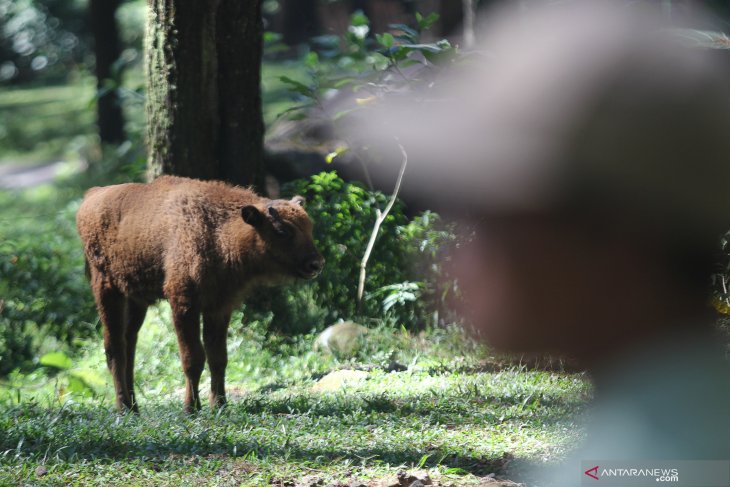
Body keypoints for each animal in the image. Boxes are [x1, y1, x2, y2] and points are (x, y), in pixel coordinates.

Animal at [75, 175, 322, 412]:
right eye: (282, 231)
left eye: (310, 227)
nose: (316, 264)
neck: (218, 228)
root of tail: (91, 196)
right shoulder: (184, 304)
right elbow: (193, 358)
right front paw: (191, 408)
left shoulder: (219, 307)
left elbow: (218, 357)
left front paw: (220, 405)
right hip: (107, 290)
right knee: (114, 348)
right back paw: (124, 408)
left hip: (136, 300)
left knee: (129, 345)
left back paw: (135, 408)